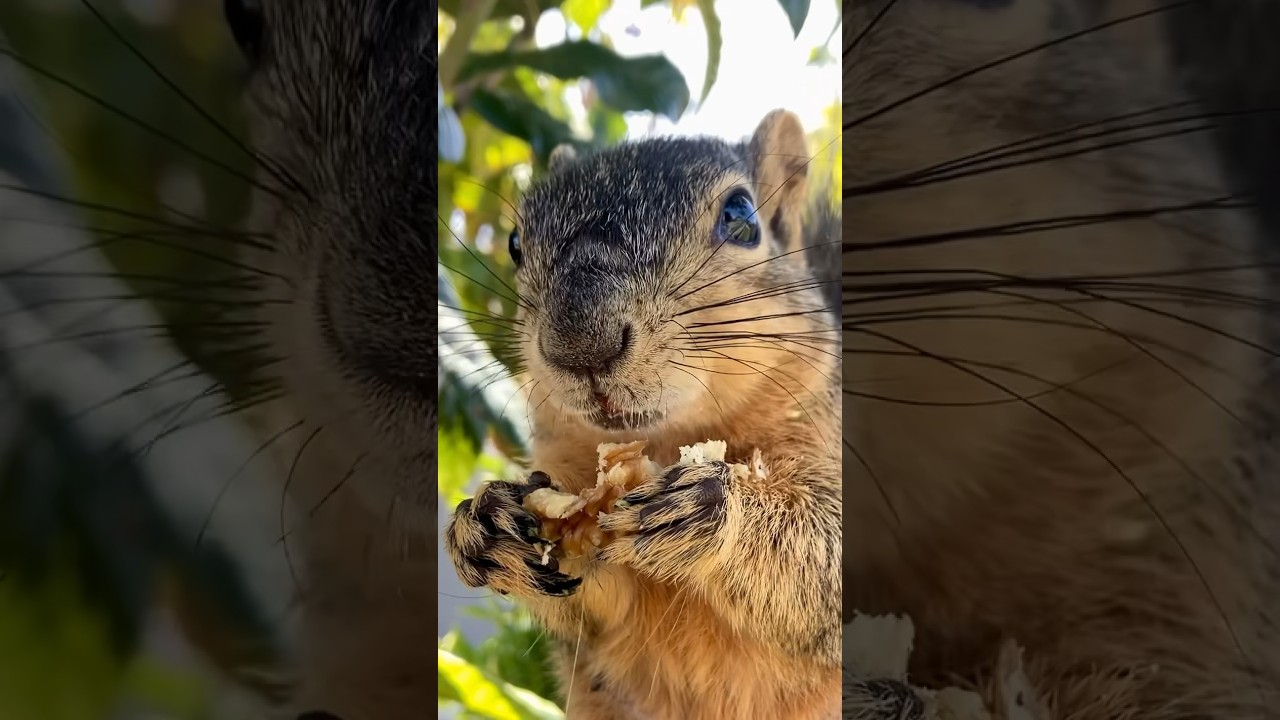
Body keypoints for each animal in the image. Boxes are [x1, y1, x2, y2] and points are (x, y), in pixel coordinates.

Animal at [443, 110, 842, 720]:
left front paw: (714, 508)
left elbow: (831, 556)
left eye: (741, 216)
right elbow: (599, 611)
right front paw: (485, 523)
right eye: (514, 243)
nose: (580, 343)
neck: (663, 440)